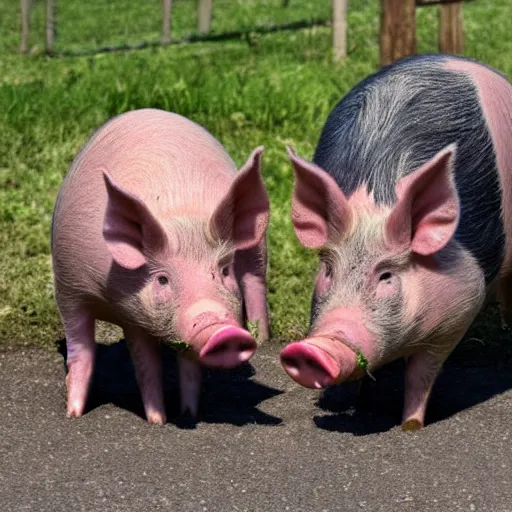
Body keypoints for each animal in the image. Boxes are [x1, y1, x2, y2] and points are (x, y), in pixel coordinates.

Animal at [50, 108, 270, 424]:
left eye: (224, 271)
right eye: (163, 279)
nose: (221, 329)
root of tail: (151, 111)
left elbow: (187, 367)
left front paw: (188, 415)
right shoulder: (117, 306)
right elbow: (142, 364)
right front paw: (157, 420)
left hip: (257, 249)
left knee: (255, 282)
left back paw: (263, 337)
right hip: (67, 289)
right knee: (82, 347)